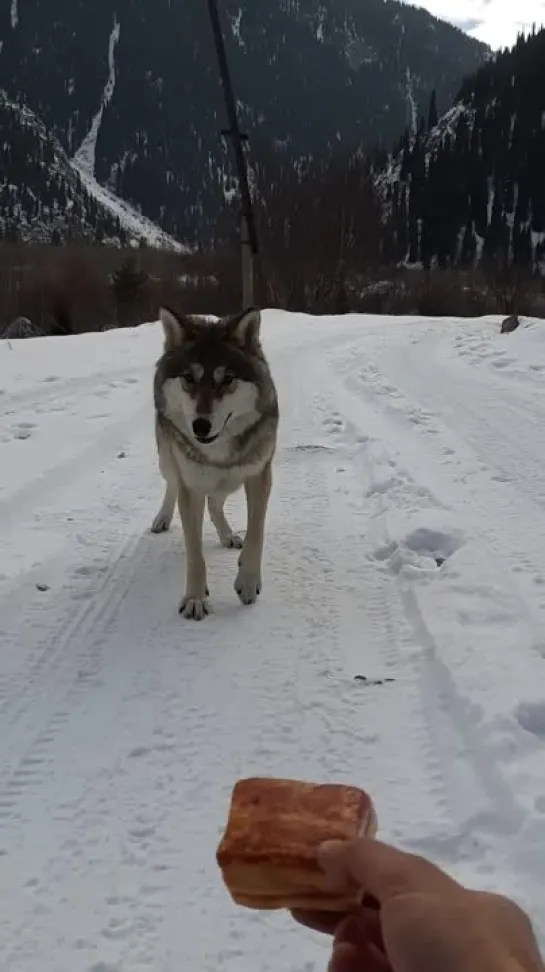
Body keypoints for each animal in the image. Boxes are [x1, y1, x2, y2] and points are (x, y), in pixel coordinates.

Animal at [151, 308, 278, 620]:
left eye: (227, 379)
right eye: (189, 377)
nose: (200, 425)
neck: (218, 450)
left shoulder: (259, 476)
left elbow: (256, 532)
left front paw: (248, 583)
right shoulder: (192, 486)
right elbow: (194, 552)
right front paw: (195, 599)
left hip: (228, 482)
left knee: (215, 504)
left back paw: (228, 535)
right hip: (168, 460)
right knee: (172, 486)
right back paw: (162, 519)